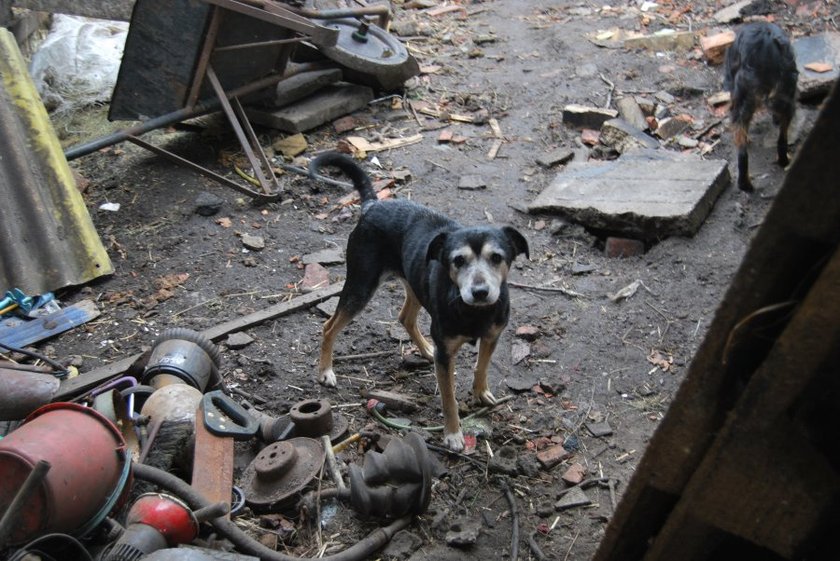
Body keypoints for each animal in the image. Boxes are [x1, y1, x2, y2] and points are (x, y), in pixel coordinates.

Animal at [312, 152, 528, 450]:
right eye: (458, 260)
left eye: (497, 257)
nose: (480, 292)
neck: (474, 312)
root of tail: (373, 205)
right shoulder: (446, 356)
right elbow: (449, 400)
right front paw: (453, 434)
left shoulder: (492, 336)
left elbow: (482, 367)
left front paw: (481, 391)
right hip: (361, 285)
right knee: (329, 327)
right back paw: (326, 372)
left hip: (412, 282)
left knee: (405, 317)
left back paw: (425, 348)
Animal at [720, 21, 800, 191]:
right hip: (786, 94)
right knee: (782, 137)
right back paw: (784, 161)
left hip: (742, 98)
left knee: (742, 149)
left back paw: (744, 184)